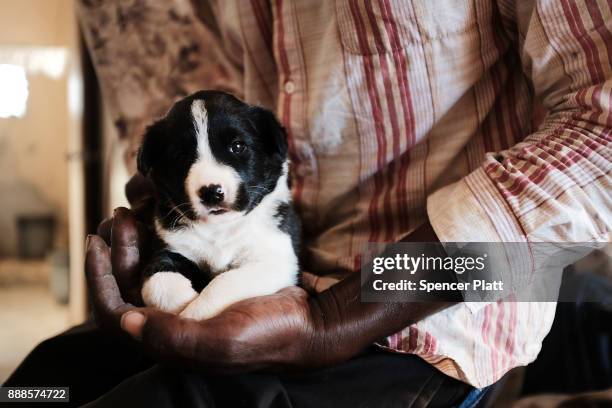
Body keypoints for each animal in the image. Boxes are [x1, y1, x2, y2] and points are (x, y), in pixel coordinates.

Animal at [139, 91, 302, 320]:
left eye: (238, 146)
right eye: (180, 156)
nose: (211, 192)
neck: (220, 228)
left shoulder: (274, 260)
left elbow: (226, 282)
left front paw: (194, 312)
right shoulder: (170, 245)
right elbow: (156, 279)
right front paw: (182, 304)